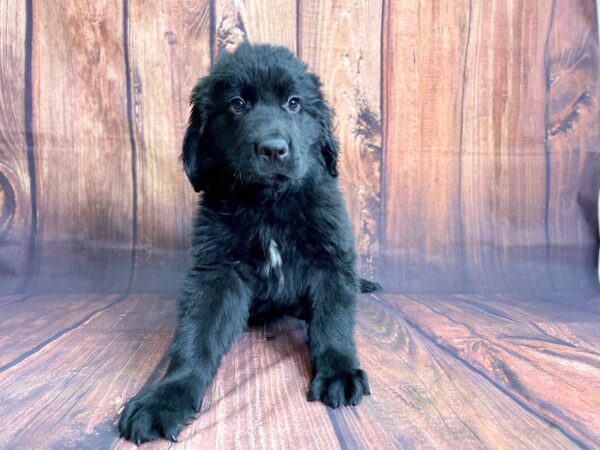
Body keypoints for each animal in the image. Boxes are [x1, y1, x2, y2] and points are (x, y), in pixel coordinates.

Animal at [119, 44, 378, 444]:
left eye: (294, 103)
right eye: (237, 104)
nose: (273, 149)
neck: (268, 204)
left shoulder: (330, 259)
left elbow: (332, 319)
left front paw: (339, 372)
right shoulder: (217, 272)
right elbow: (196, 337)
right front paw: (167, 396)